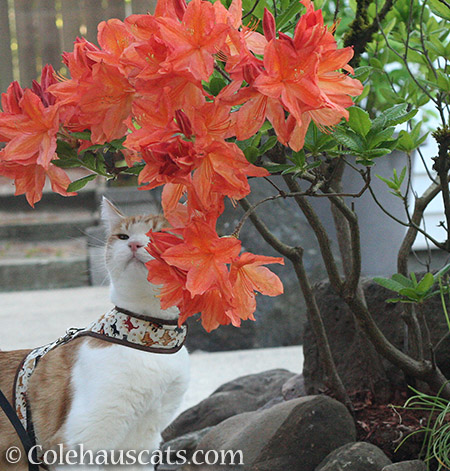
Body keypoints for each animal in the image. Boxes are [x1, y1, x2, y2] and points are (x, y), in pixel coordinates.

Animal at [0, 197, 190, 470]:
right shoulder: (75, 446)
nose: (134, 244)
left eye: (161, 234)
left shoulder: (138, 447)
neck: (149, 342)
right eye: (123, 236)